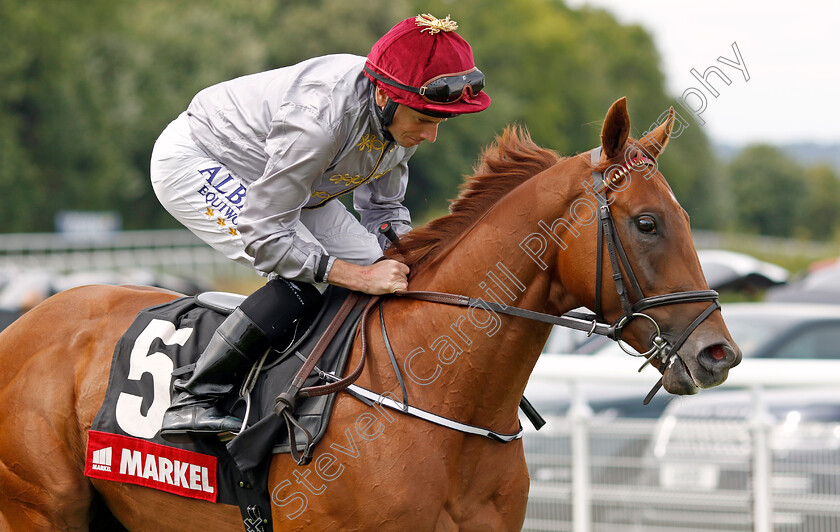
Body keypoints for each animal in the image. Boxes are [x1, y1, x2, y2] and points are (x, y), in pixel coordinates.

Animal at [0, 97, 740, 528]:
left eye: (684, 218)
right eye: (646, 223)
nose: (718, 353)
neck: (448, 403)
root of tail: (25, 324)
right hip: (38, 508)